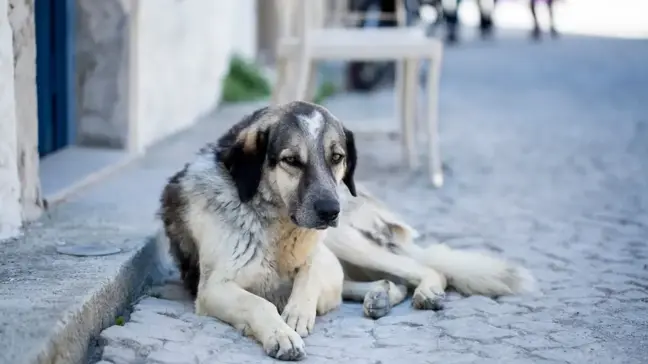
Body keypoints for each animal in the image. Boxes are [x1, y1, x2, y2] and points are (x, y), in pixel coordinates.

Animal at [156, 101, 532, 362]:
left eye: (336, 157)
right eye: (291, 160)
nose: (329, 210)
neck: (277, 226)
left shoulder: (322, 257)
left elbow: (309, 274)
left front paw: (296, 312)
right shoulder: (213, 289)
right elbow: (259, 304)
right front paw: (281, 333)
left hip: (348, 241)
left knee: (424, 269)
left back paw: (423, 292)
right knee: (386, 280)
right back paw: (380, 296)